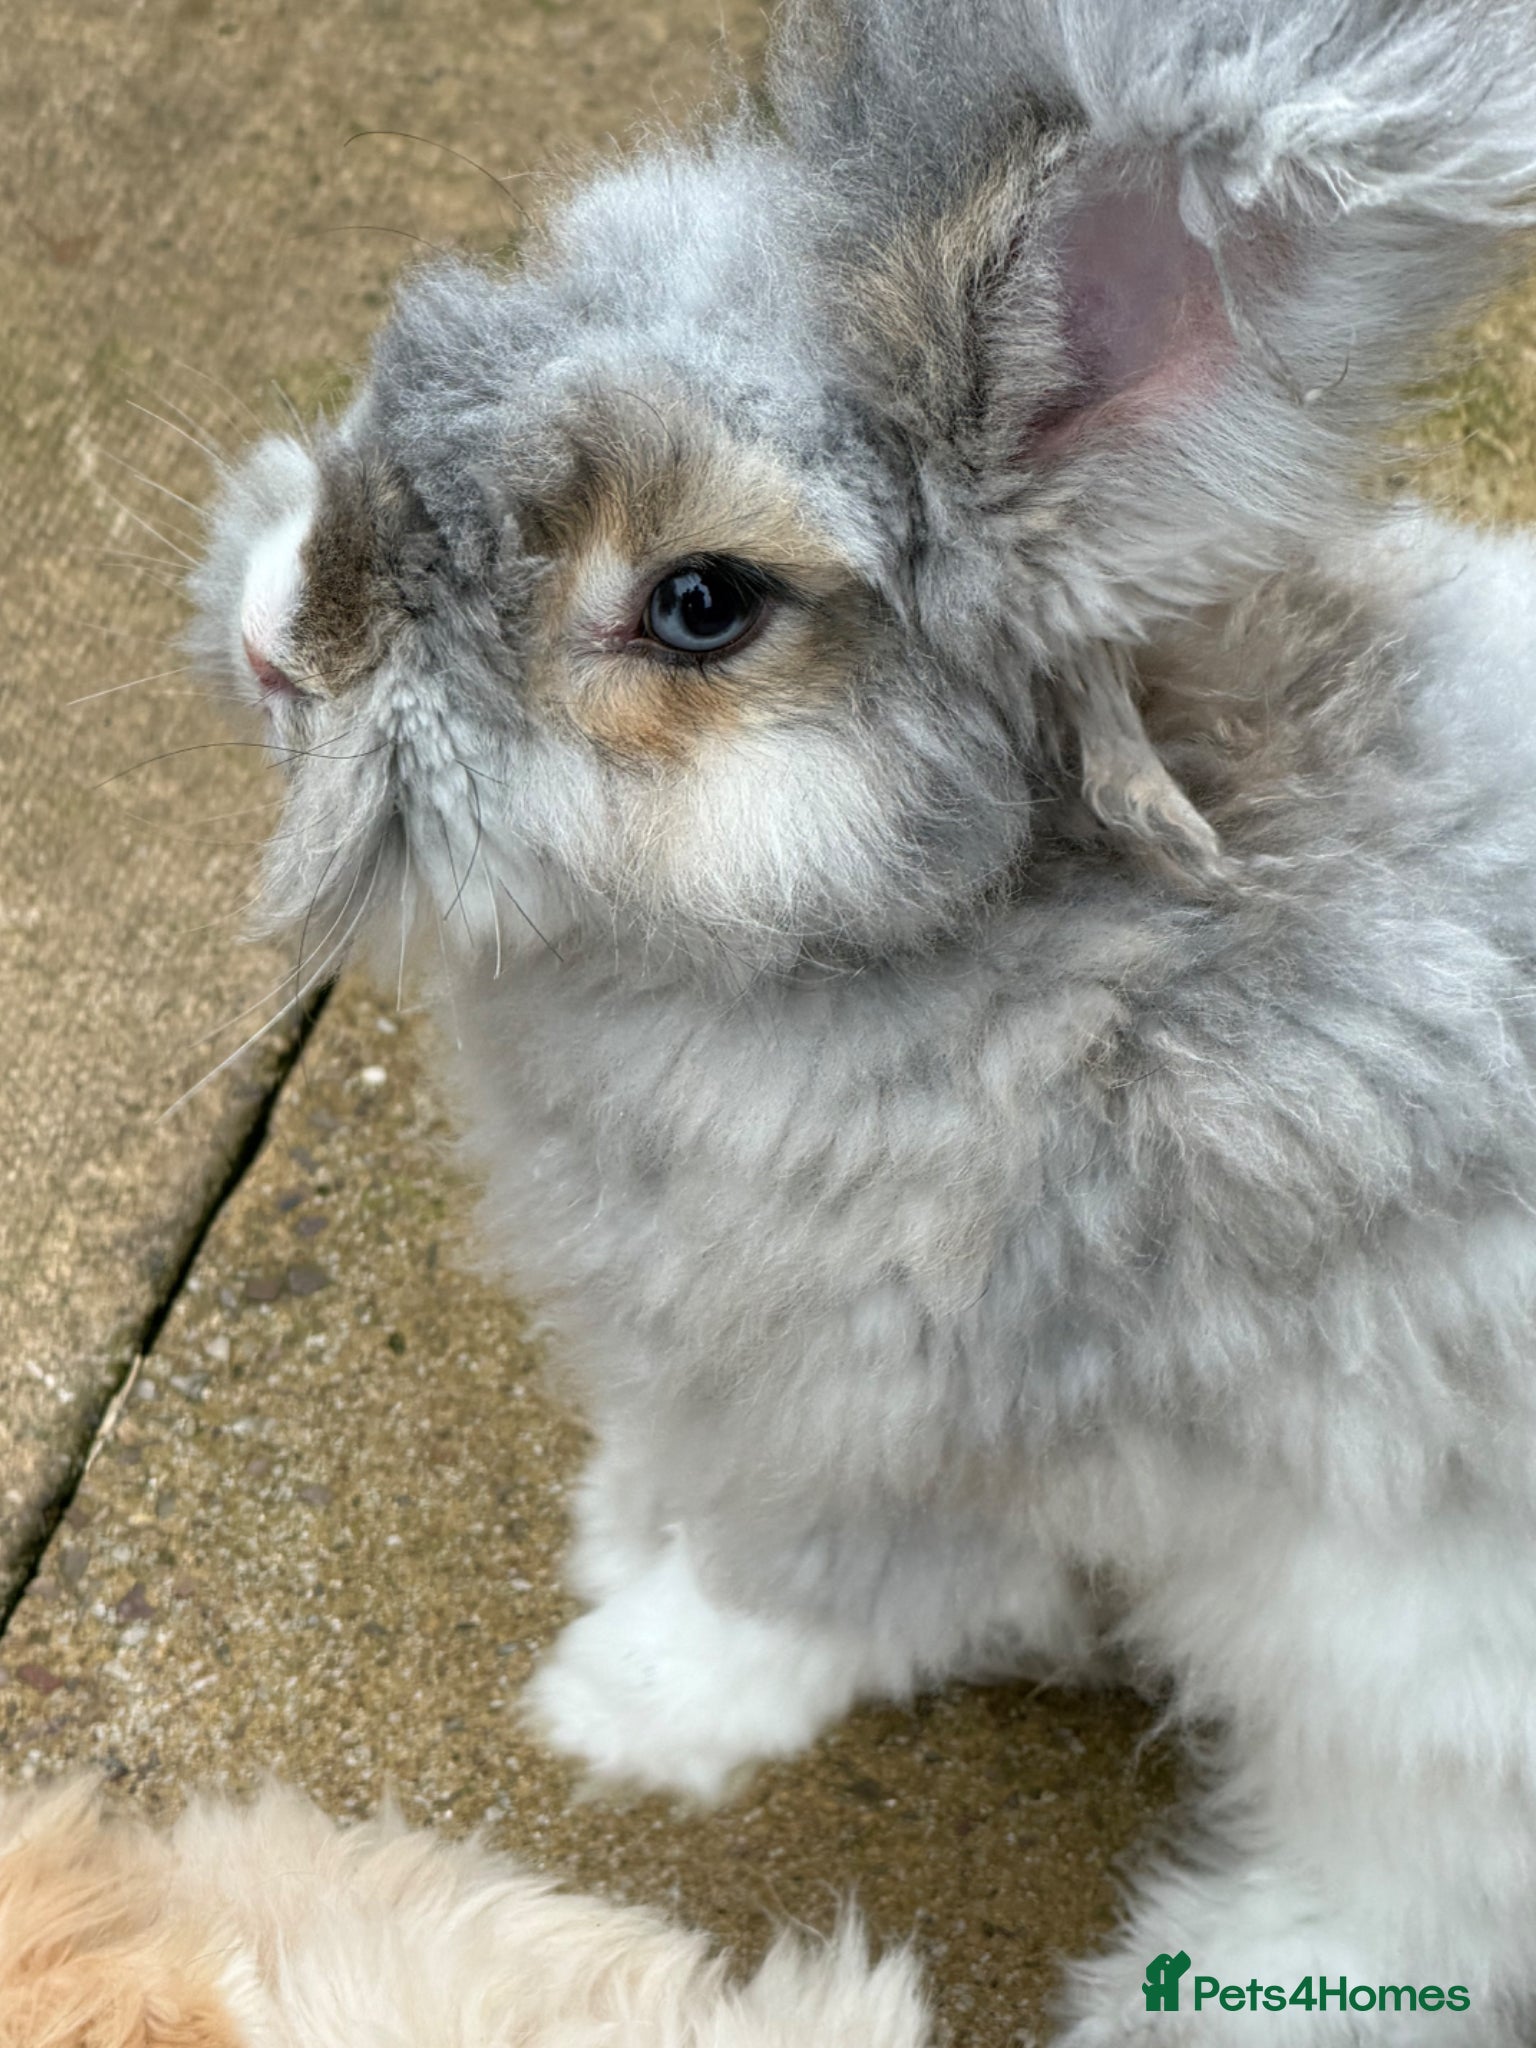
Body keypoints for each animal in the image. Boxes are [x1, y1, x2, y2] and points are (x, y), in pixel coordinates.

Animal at [187, 0, 1536, 2038]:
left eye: (698, 601)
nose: (281, 636)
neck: (951, 940)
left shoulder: (908, 1411)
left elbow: (807, 1595)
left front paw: (620, 1706)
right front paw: (621, 1527)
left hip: (1406, 1672)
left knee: (1429, 1892)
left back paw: (1221, 1971)